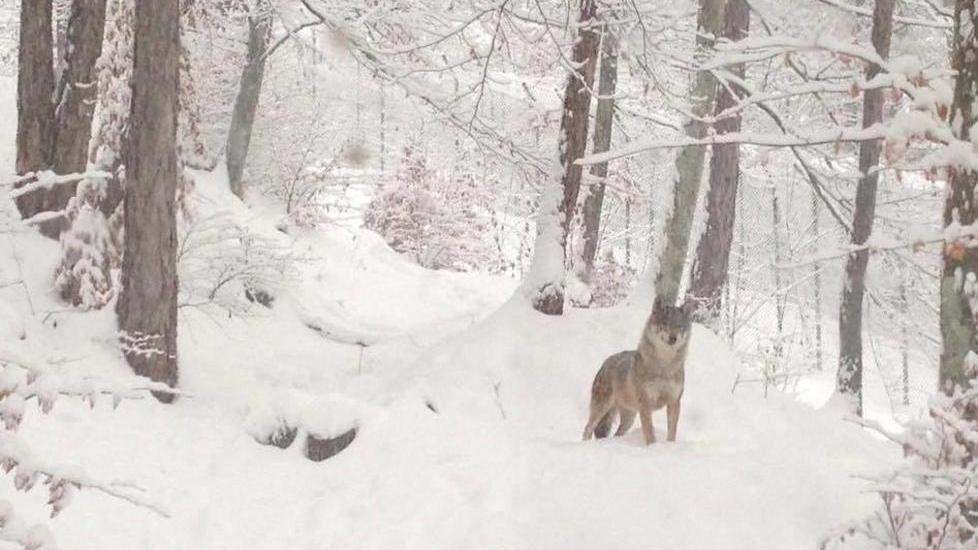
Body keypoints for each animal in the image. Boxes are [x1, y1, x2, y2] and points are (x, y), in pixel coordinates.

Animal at [582, 296, 693, 445]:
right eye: (664, 323)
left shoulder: (674, 403)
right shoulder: (645, 405)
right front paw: (653, 447)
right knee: (588, 428)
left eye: (679, 326)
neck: (664, 366)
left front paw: (670, 446)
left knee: (617, 434)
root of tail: (605, 363)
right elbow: (650, 435)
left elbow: (672, 434)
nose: (673, 338)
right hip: (602, 408)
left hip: (630, 417)